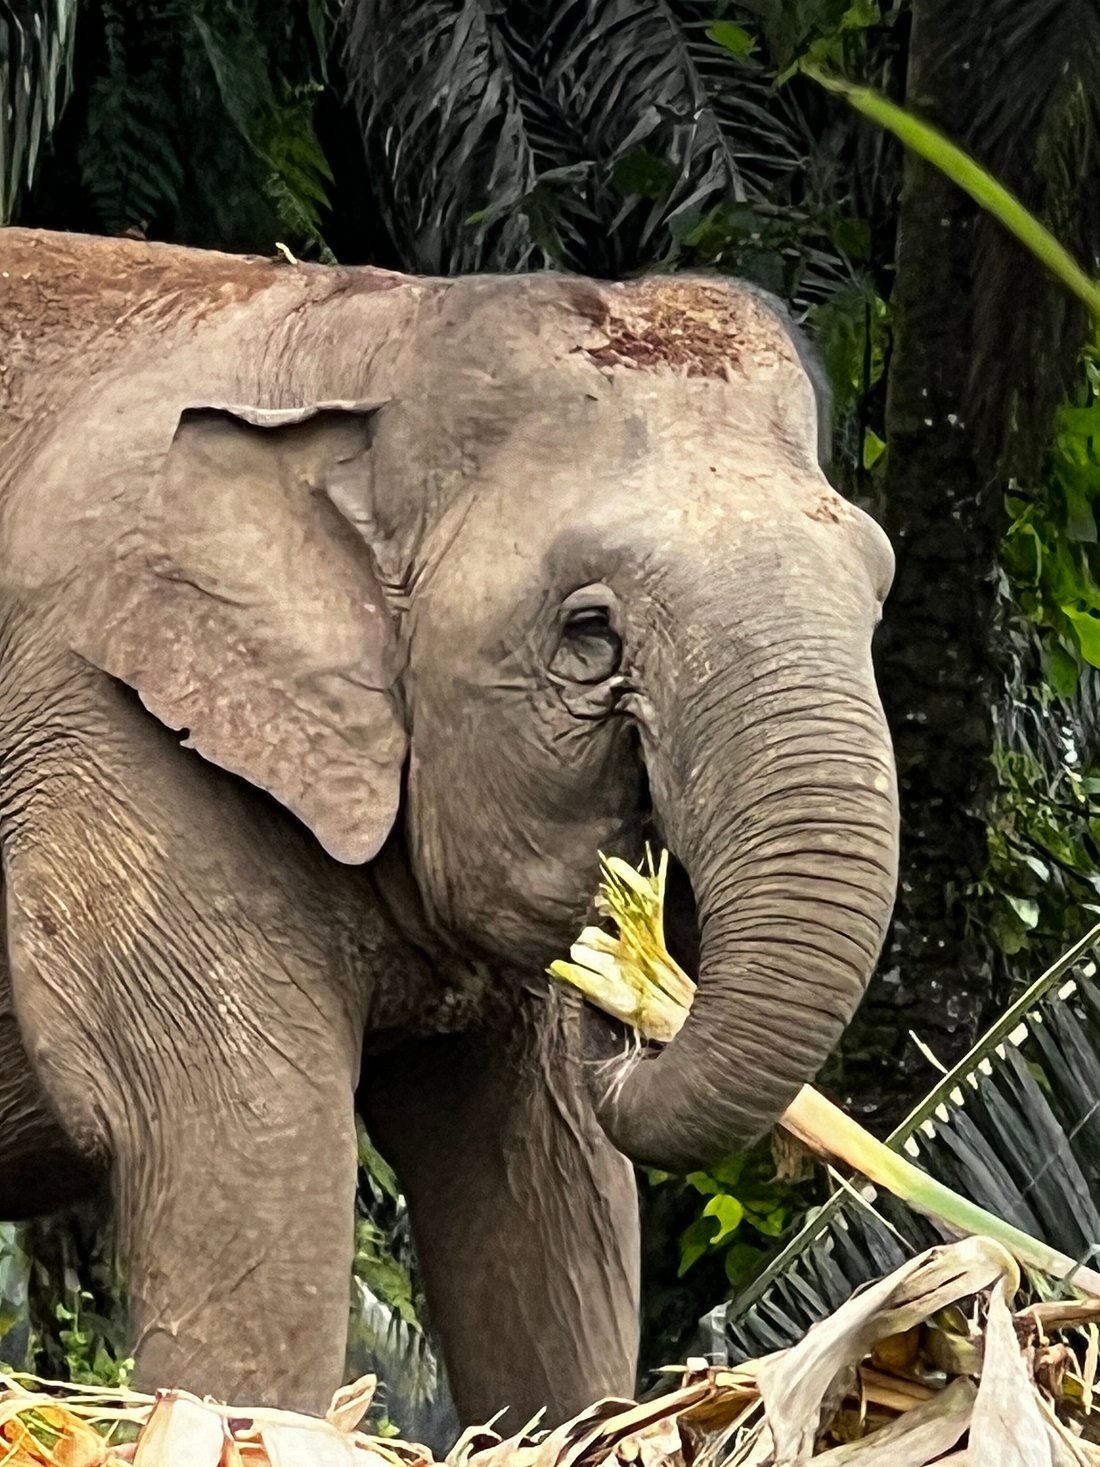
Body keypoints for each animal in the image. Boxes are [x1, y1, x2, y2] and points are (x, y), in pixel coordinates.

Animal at [0, 228, 899, 1428]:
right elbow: (250, 1152)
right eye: (588, 634)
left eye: (879, 587)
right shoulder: (111, 738)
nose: (633, 1001)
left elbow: (548, 1186)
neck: (376, 331)